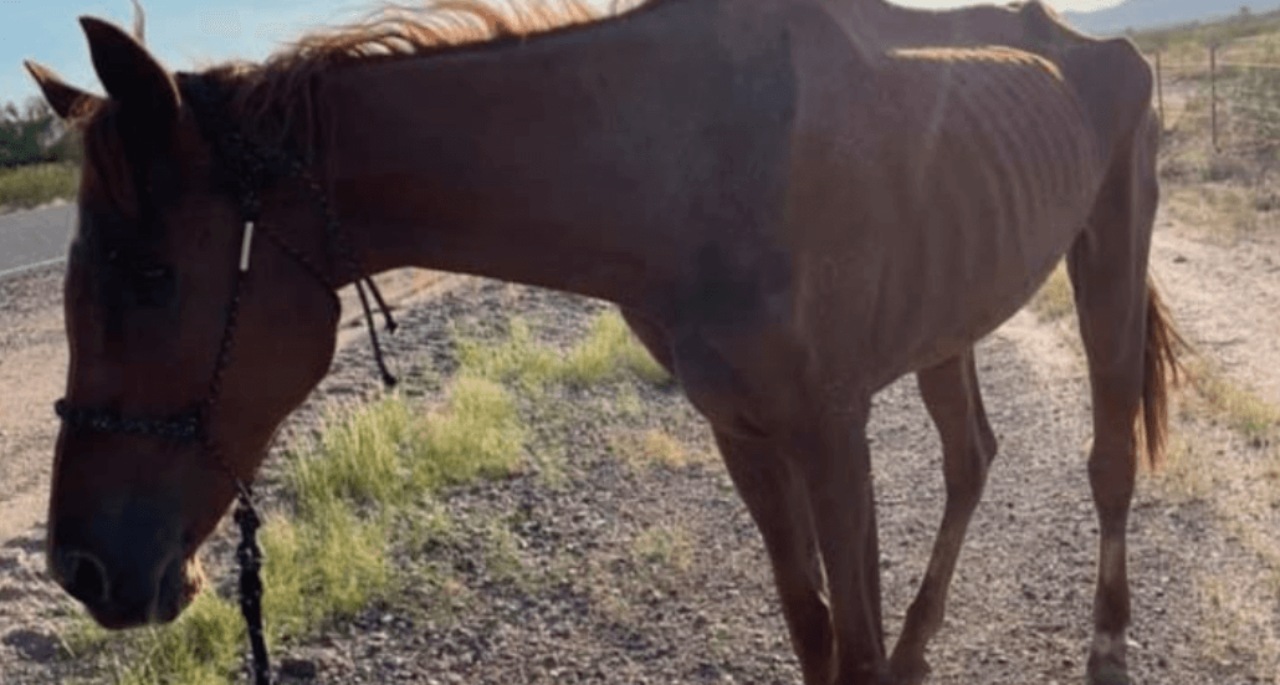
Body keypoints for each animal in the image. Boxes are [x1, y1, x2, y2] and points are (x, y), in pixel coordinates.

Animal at [24, 0, 1177, 681]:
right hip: (953, 318)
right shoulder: (744, 431)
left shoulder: (829, 430)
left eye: (153, 276)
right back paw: (918, 647)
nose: (81, 566)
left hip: (1108, 259)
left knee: (1108, 457)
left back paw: (1108, 638)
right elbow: (812, 626)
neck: (686, 164)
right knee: (971, 455)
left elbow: (842, 636)